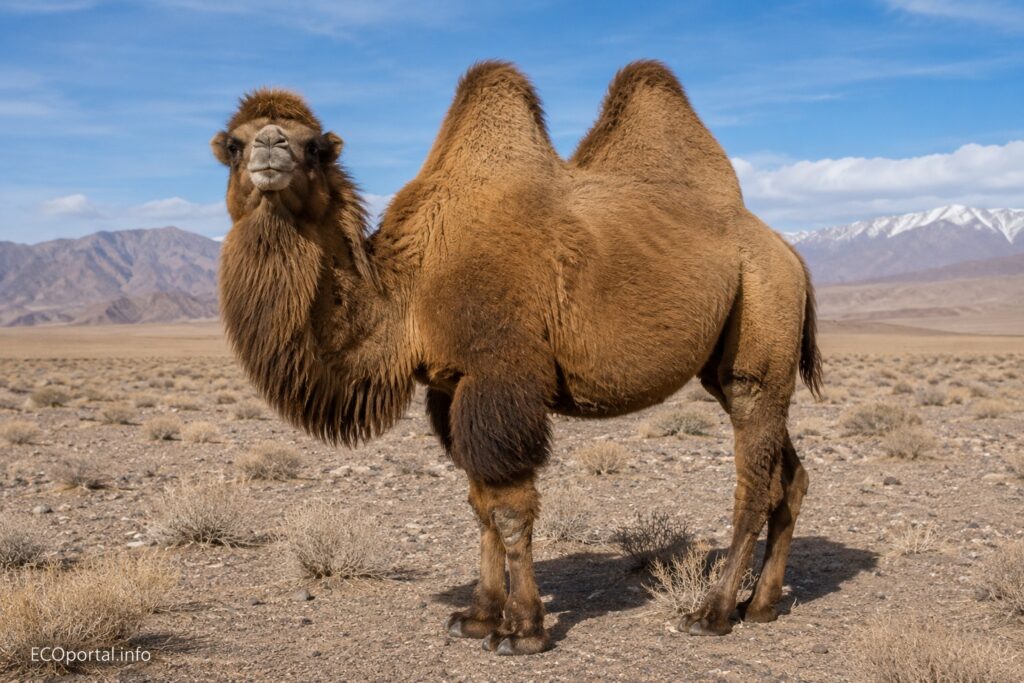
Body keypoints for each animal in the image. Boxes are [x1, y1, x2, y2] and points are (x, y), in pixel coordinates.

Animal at [212, 60, 822, 656]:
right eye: (235, 144)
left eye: (314, 146)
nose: (271, 147)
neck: (409, 291)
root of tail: (791, 253)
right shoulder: (449, 386)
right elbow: (479, 502)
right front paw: (477, 617)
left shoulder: (500, 376)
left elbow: (508, 508)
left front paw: (523, 629)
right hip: (730, 363)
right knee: (788, 475)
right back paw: (762, 605)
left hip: (760, 324)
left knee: (753, 480)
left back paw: (713, 612)